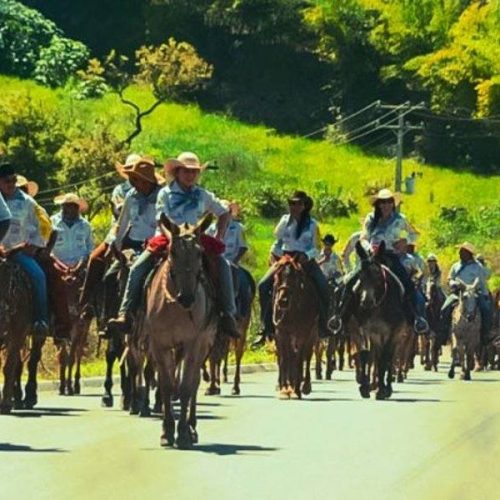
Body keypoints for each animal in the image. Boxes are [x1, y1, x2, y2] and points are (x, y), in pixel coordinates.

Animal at [142, 213, 218, 448]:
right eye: (172, 252)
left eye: (199, 252)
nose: (187, 298)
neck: (175, 307)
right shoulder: (159, 344)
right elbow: (166, 386)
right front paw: (167, 431)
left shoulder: (194, 344)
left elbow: (186, 387)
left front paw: (183, 432)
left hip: (203, 345)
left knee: (193, 383)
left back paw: (192, 427)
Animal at [272, 256, 318, 400]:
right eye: (277, 275)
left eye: (294, 276)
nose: (282, 301)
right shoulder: (281, 332)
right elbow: (284, 358)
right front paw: (284, 389)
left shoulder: (303, 333)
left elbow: (299, 359)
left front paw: (296, 389)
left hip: (312, 334)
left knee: (307, 356)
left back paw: (305, 386)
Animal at [350, 240, 408, 400]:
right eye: (360, 276)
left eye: (377, 276)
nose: (366, 301)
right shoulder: (367, 331)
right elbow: (366, 355)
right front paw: (365, 387)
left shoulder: (392, 333)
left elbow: (385, 359)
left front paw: (382, 390)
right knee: (375, 356)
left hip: (397, 337)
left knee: (389, 358)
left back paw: (387, 386)